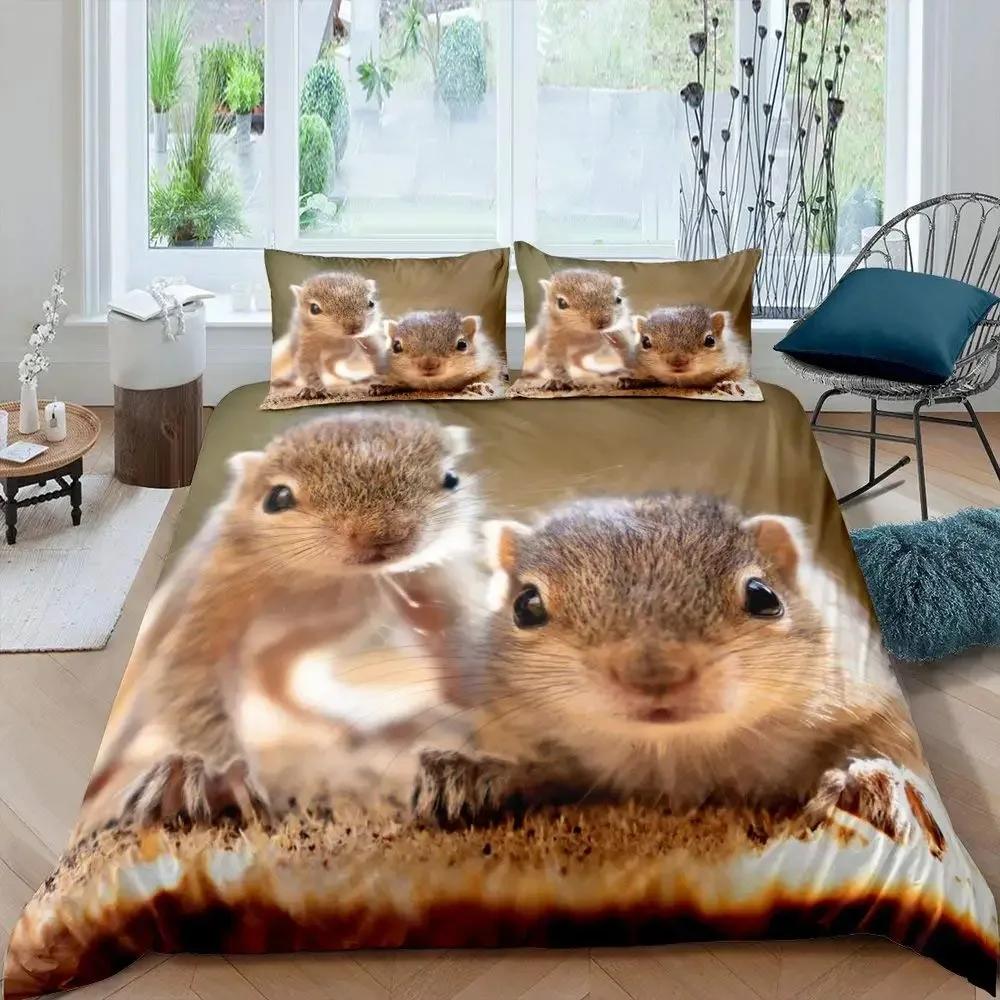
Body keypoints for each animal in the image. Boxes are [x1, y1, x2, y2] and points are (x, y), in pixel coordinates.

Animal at [82, 412, 485, 830]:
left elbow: (455, 634)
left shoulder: (429, 576)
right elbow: (190, 673)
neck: (329, 578)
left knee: (276, 678)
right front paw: (224, 778)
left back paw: (378, 721)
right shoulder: (218, 586)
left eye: (451, 478)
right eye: (277, 499)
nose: (382, 535)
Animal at [370, 310, 501, 396]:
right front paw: (383, 387)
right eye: (396, 346)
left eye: (462, 344)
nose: (428, 364)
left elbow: (491, 378)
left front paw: (480, 386)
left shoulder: (490, 363)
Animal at [412, 493, 923, 831]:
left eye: (764, 597)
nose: (655, 675)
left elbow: (887, 748)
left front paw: (862, 781)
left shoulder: (871, 700)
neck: (672, 755)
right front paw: (471, 775)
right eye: (526, 606)